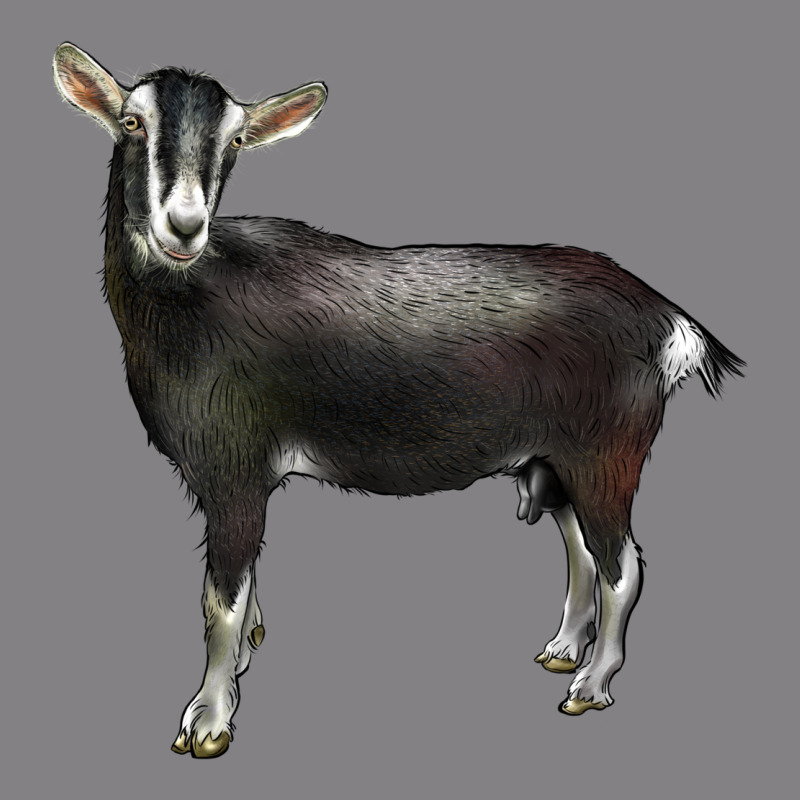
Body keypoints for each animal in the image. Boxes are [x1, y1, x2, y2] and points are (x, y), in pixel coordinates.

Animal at [53, 42, 744, 758]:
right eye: (131, 122)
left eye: (236, 139)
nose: (184, 226)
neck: (192, 300)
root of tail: (668, 320)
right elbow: (246, 587)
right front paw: (244, 659)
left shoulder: (235, 469)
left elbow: (220, 601)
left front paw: (209, 720)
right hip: (553, 459)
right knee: (581, 549)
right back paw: (560, 651)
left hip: (607, 451)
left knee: (623, 565)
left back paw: (590, 684)